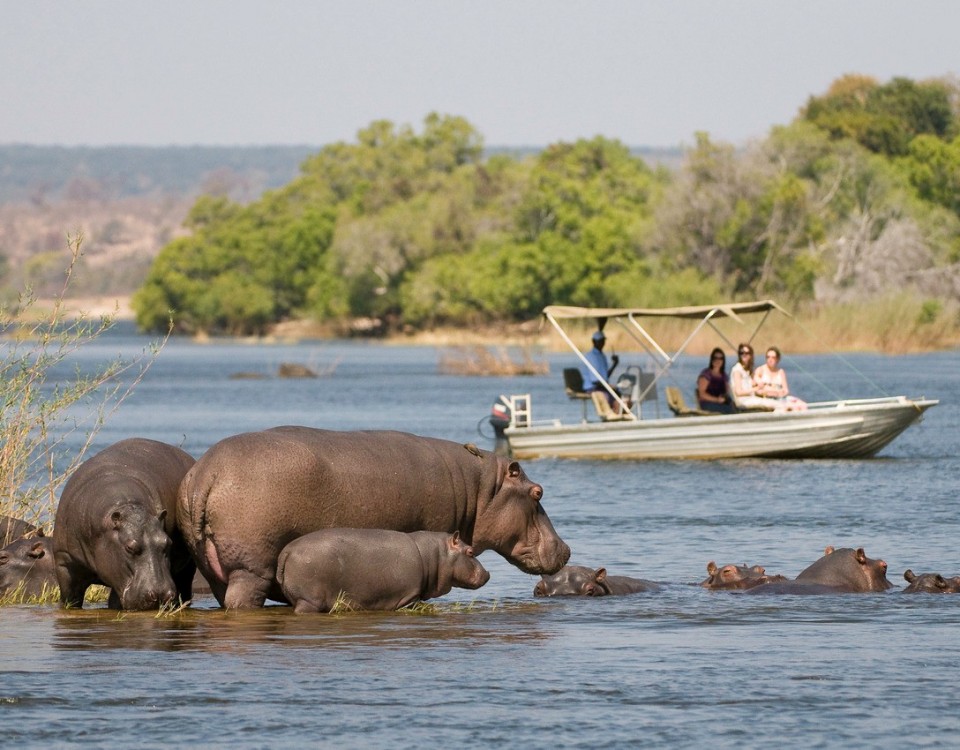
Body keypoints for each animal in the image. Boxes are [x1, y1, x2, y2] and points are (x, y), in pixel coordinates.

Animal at [53, 440, 197, 612]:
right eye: (129, 547)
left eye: (167, 543)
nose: (161, 594)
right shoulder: (64, 562)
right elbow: (70, 598)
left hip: (187, 568)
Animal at [276, 528, 488, 616]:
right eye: (470, 551)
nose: (487, 574)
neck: (434, 555)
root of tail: (287, 551)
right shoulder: (409, 597)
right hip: (309, 601)